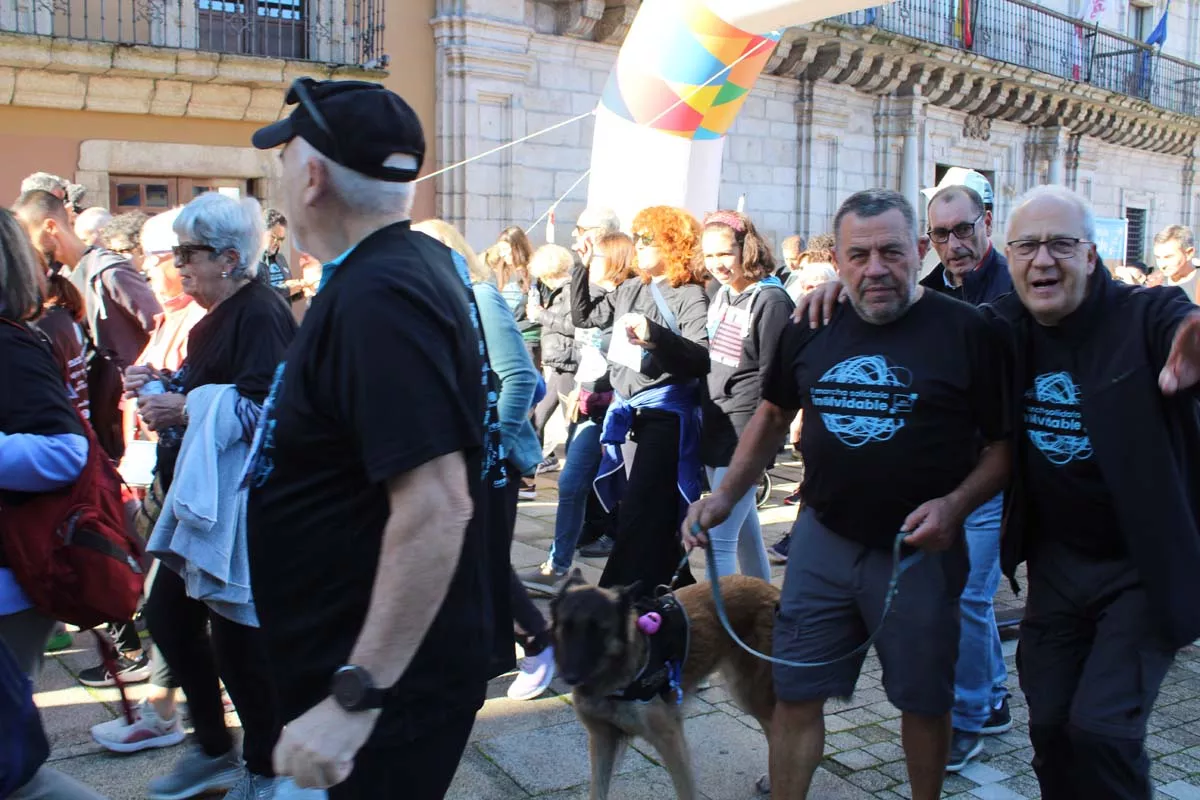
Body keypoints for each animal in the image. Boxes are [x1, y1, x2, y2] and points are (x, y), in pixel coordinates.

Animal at [549, 573, 777, 796]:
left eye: (598, 631)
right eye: (566, 627)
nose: (569, 677)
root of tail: (772, 589)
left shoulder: (670, 738)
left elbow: (685, 790)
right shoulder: (602, 739)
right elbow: (597, 790)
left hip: (750, 695)